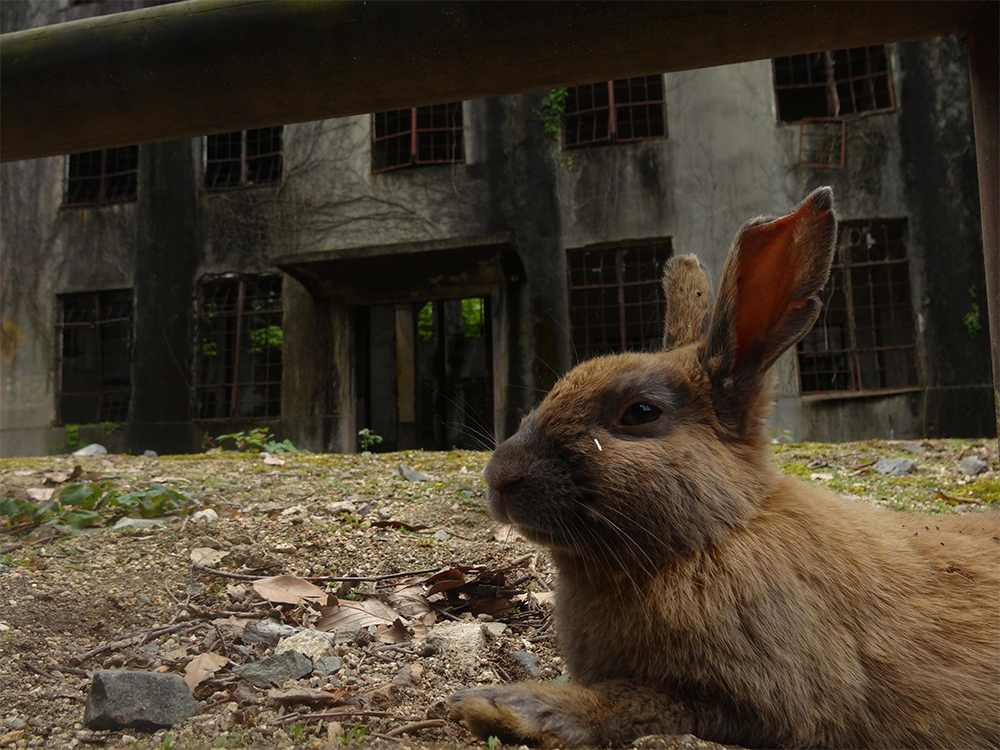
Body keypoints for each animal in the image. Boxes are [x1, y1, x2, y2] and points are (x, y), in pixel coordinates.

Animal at [449, 186, 1000, 750]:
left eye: (640, 412)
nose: (500, 478)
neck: (721, 533)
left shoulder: (757, 702)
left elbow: (633, 703)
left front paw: (502, 707)